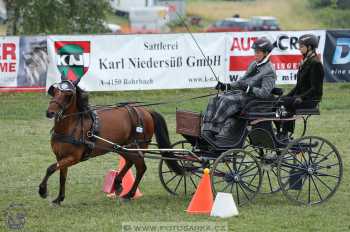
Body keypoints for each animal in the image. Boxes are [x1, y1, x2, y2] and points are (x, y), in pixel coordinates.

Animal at [39, 81, 179, 205]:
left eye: (67, 96)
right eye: (54, 93)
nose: (50, 112)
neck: (72, 125)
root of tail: (146, 111)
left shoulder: (74, 158)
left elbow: (50, 168)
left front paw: (42, 191)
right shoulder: (61, 157)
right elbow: (61, 176)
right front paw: (59, 199)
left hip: (136, 147)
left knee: (141, 167)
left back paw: (129, 195)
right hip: (122, 147)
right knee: (129, 162)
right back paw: (117, 183)